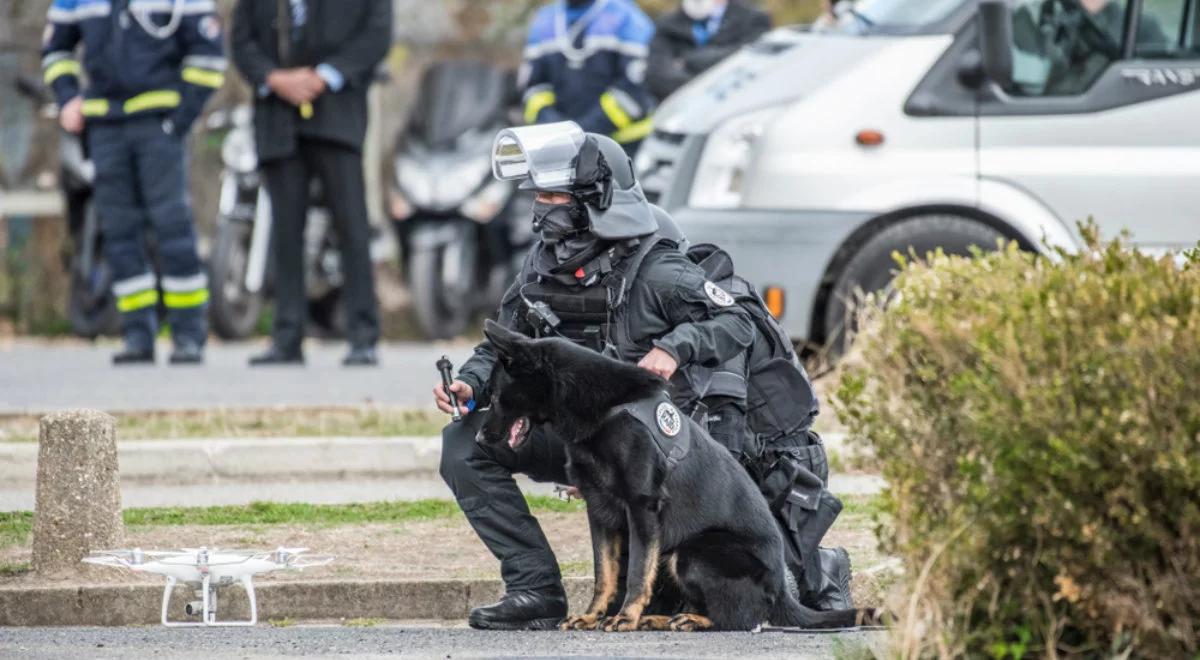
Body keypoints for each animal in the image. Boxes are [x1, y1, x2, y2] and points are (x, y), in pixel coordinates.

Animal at [477, 324, 883, 633]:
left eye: (495, 397)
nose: (480, 439)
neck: (608, 409)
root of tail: (782, 591)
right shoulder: (600, 512)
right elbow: (604, 573)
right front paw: (593, 616)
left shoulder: (642, 508)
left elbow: (637, 572)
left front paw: (625, 616)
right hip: (677, 554)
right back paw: (661, 618)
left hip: (693, 553)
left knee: (741, 618)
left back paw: (688, 620)